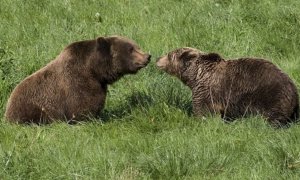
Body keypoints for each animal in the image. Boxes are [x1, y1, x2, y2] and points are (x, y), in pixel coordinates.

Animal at [4, 35, 150, 124]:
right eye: (131, 49)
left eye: (136, 45)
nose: (147, 56)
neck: (94, 70)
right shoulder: (77, 82)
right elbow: (82, 107)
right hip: (32, 109)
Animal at [157, 47, 298, 127]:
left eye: (169, 55)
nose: (158, 58)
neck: (196, 76)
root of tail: (294, 90)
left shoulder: (206, 92)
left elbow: (203, 111)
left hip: (271, 97)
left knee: (273, 117)